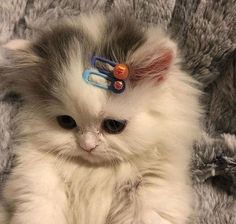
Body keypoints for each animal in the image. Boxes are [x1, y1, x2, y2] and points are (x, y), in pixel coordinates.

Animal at [0, 14, 202, 224]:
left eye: (113, 125)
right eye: (66, 122)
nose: (88, 146)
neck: (94, 174)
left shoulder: (153, 190)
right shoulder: (38, 183)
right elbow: (40, 211)